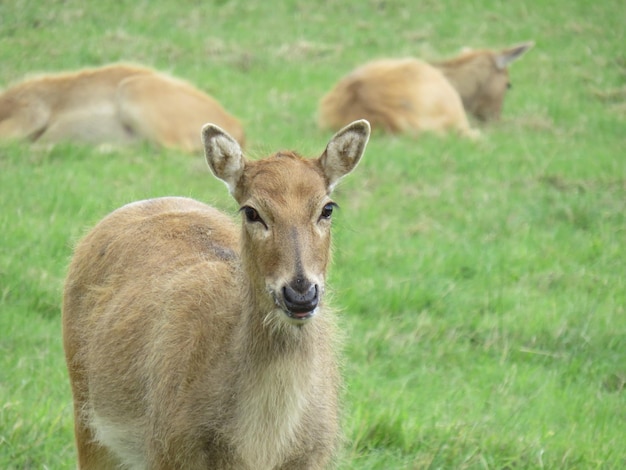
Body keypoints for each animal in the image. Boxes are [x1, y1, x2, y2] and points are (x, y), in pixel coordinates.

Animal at [61, 119, 368, 468]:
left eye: (327, 208)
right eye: (251, 211)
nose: (300, 293)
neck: (260, 446)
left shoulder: (315, 454)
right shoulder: (168, 450)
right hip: (86, 413)